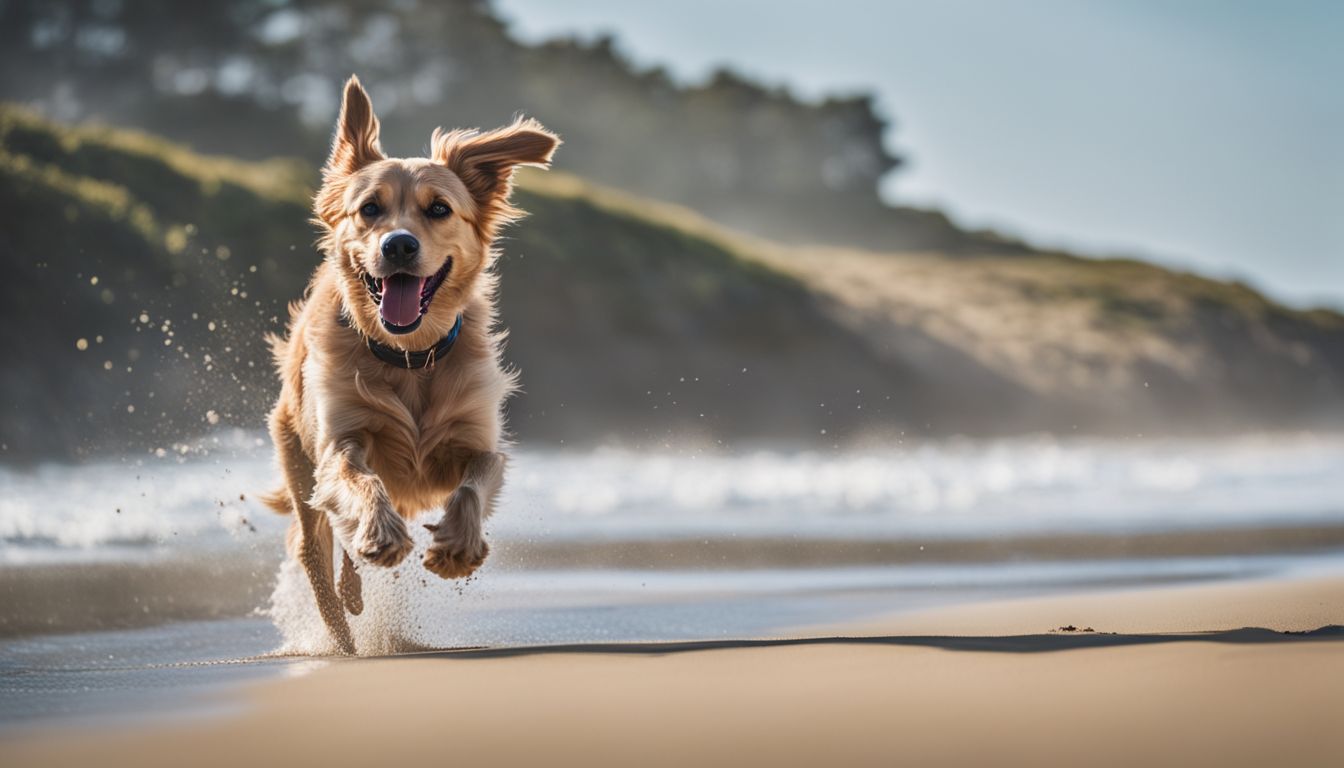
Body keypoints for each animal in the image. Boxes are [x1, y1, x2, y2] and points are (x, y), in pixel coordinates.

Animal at [264, 76, 559, 656]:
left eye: (439, 208)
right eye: (369, 209)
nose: (398, 245)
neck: (409, 358)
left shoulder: (476, 437)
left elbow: (475, 482)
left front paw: (458, 548)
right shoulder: (342, 440)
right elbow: (360, 481)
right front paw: (380, 534)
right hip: (297, 457)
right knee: (318, 553)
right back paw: (345, 634)